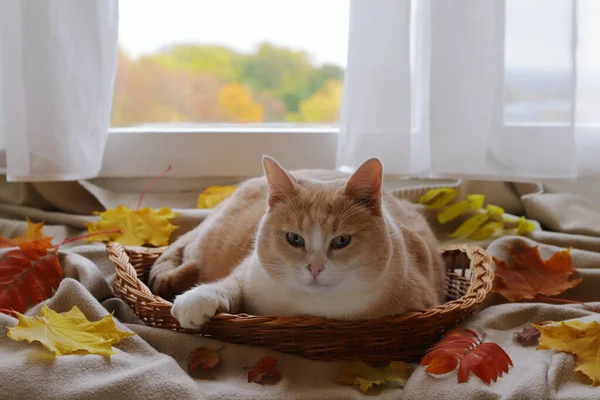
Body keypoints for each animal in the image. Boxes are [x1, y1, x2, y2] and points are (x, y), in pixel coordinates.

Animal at [150, 156, 446, 328]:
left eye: (341, 241)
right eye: (294, 238)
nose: (314, 268)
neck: (309, 306)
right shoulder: (248, 273)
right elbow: (228, 284)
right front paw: (198, 299)